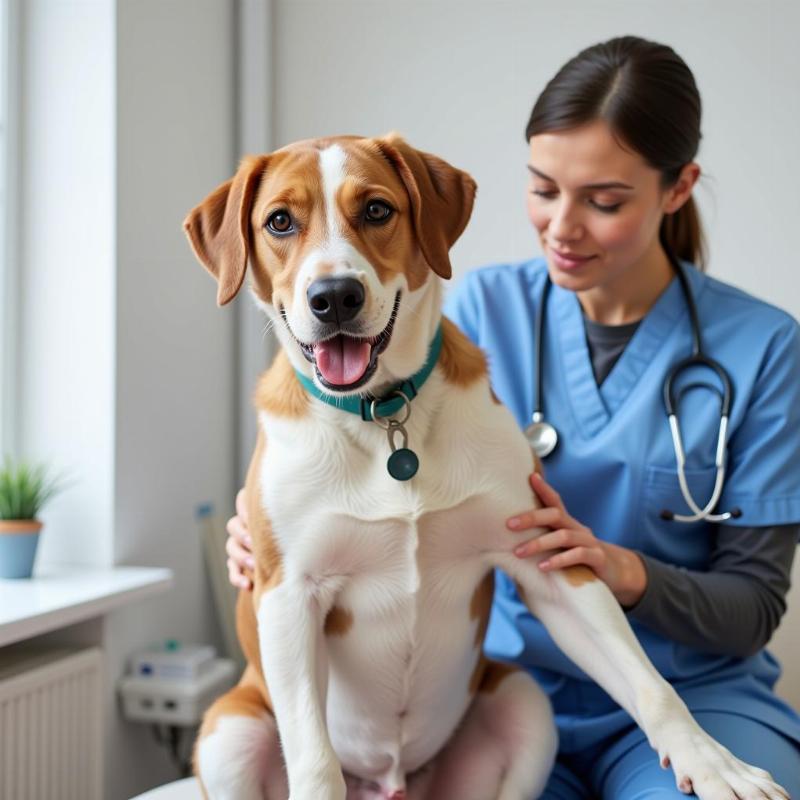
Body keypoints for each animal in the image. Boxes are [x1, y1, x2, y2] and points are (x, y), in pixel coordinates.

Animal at [183, 136, 788, 800]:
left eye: (376, 210)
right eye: (279, 222)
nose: (335, 296)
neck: (383, 415)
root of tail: (394, 785)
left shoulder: (548, 558)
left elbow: (652, 686)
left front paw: (714, 763)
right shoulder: (289, 596)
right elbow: (315, 763)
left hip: (525, 707)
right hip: (229, 729)